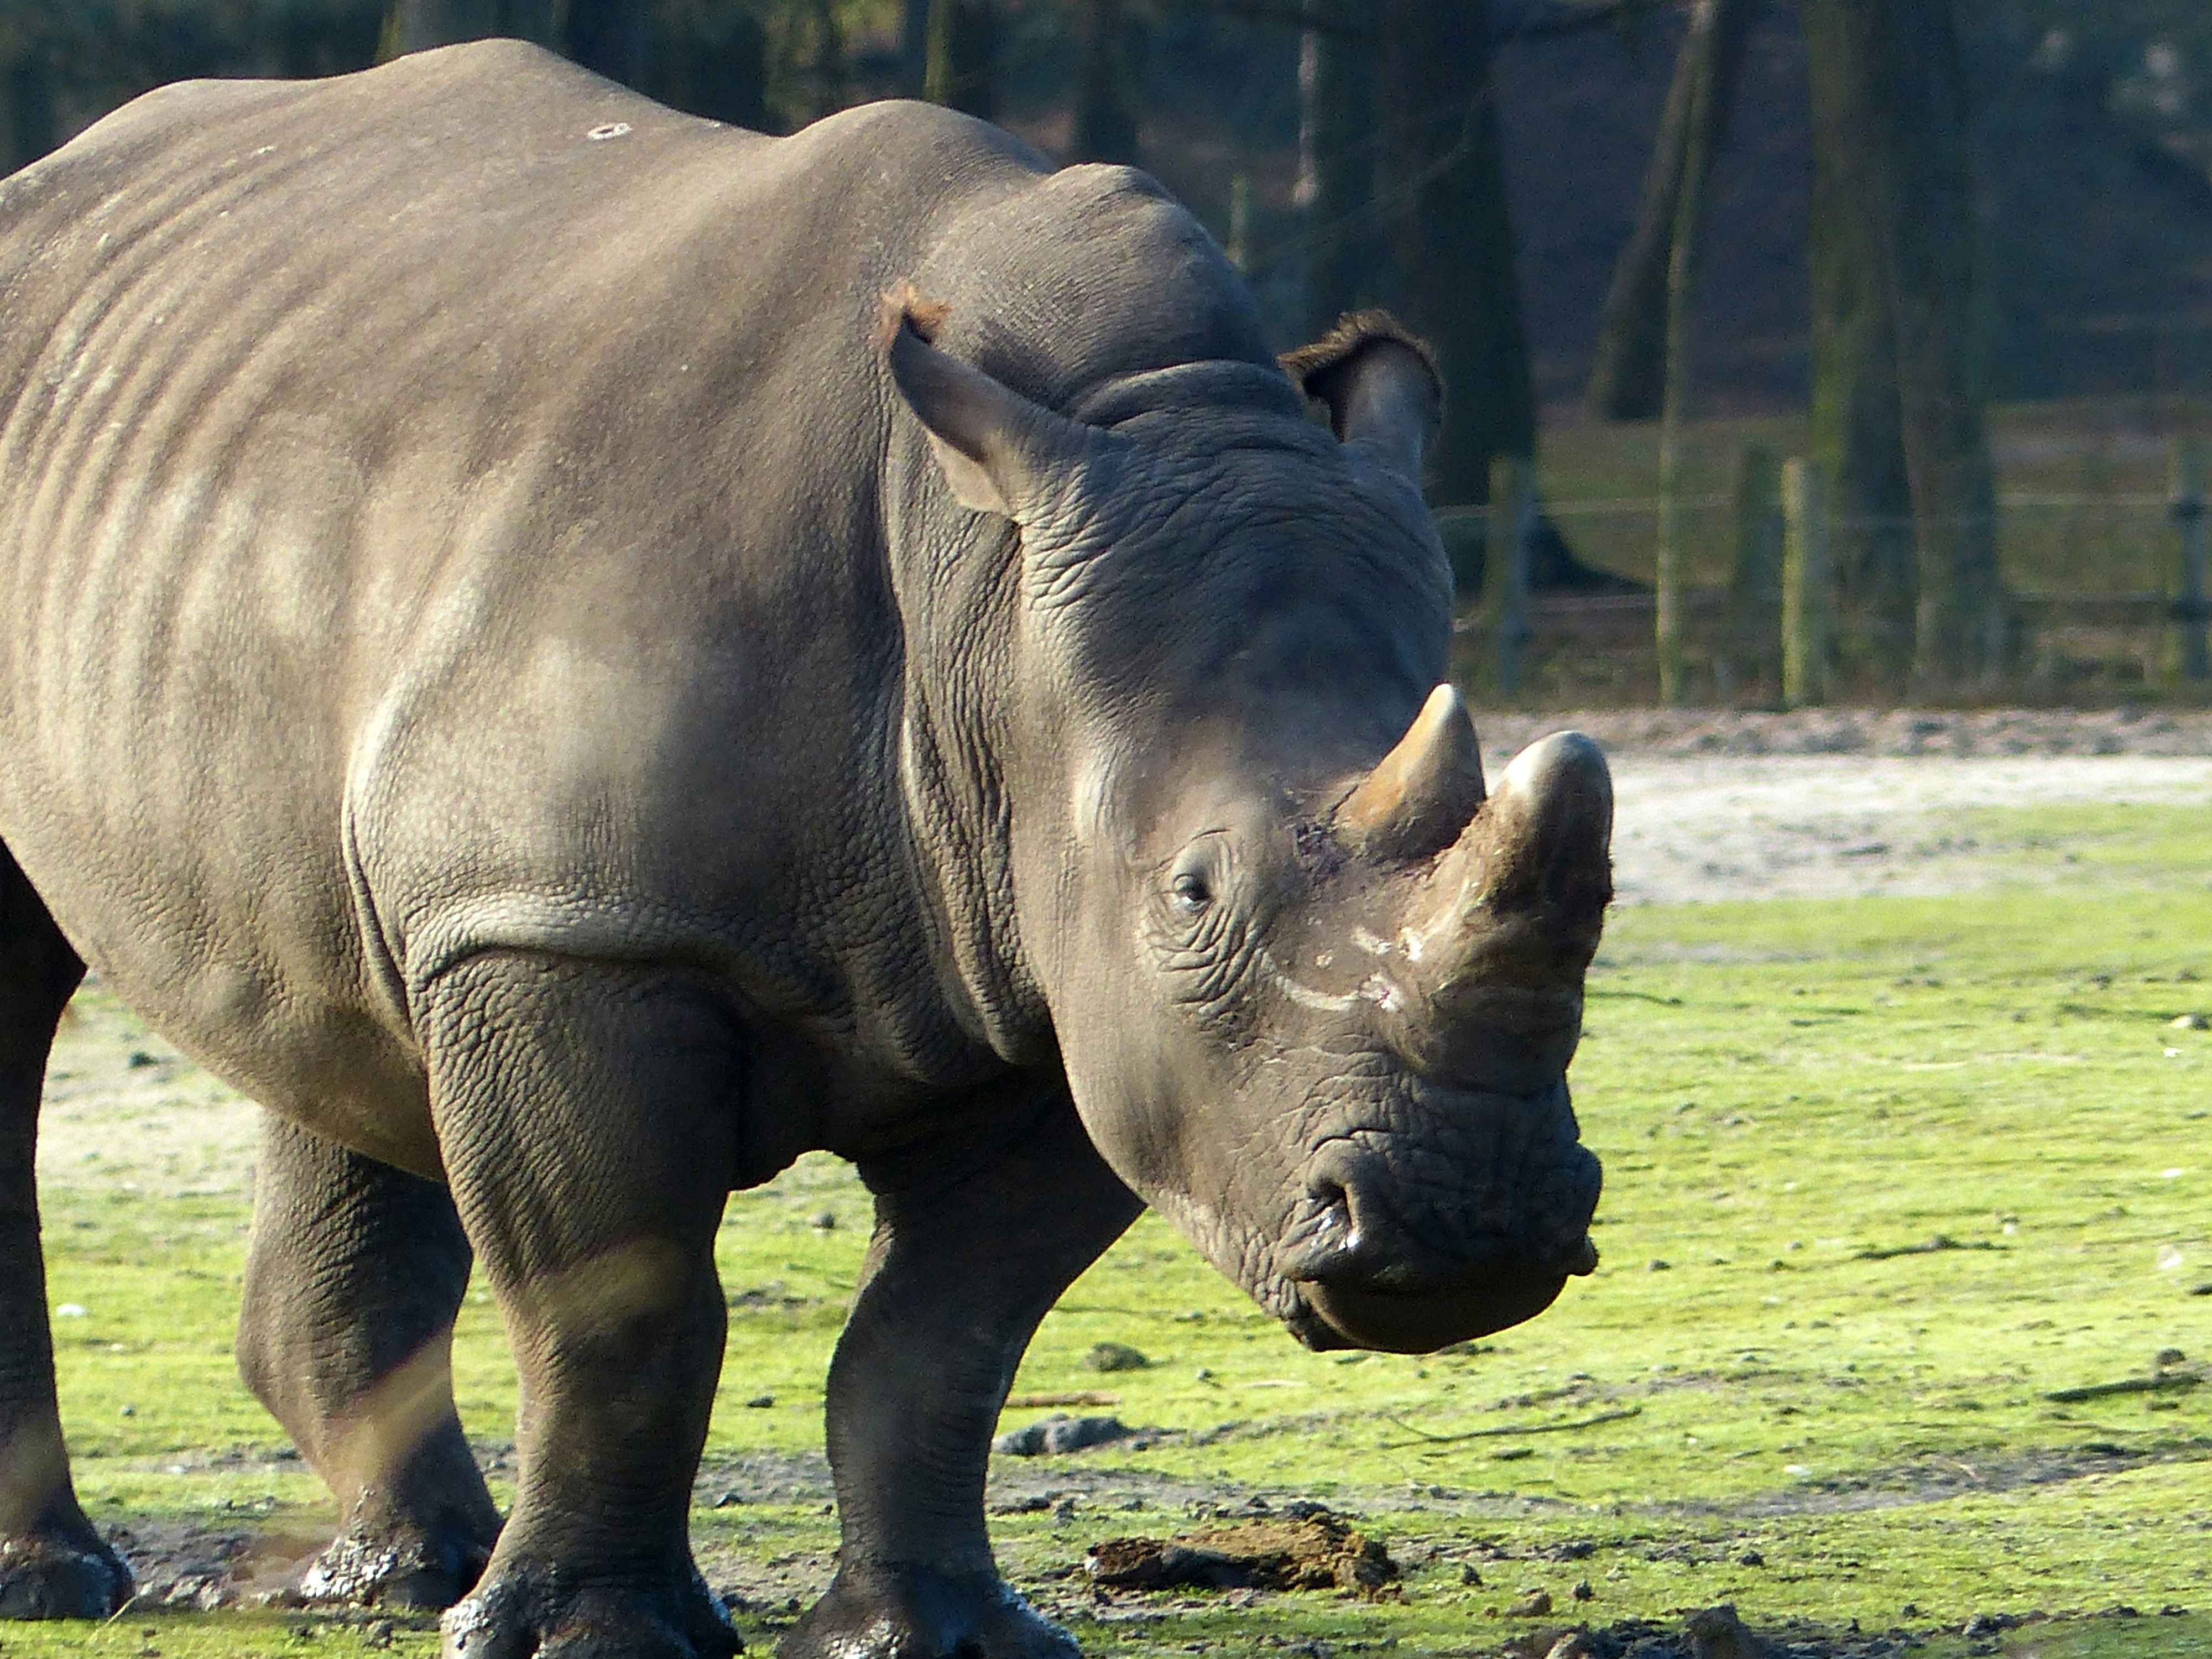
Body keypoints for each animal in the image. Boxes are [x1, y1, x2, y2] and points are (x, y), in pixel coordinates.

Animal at [0, 40, 1612, 1659]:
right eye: (1194, 891)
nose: (1468, 1222)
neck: (983, 596)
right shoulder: (572, 922)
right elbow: (624, 1310)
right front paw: (589, 1637)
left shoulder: (1065, 993)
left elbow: (943, 1336)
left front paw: (930, 1634)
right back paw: (73, 1583)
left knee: (340, 980)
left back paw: (405, 1576)